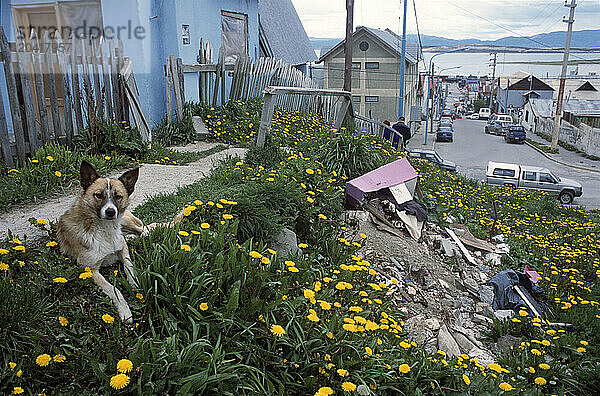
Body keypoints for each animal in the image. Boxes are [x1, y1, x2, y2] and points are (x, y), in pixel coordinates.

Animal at [57, 160, 144, 322]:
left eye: (118, 196)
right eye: (98, 195)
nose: (110, 212)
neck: (105, 230)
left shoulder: (122, 248)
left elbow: (129, 265)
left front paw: (134, 282)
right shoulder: (89, 269)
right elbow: (113, 289)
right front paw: (125, 311)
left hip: (126, 221)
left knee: (144, 228)